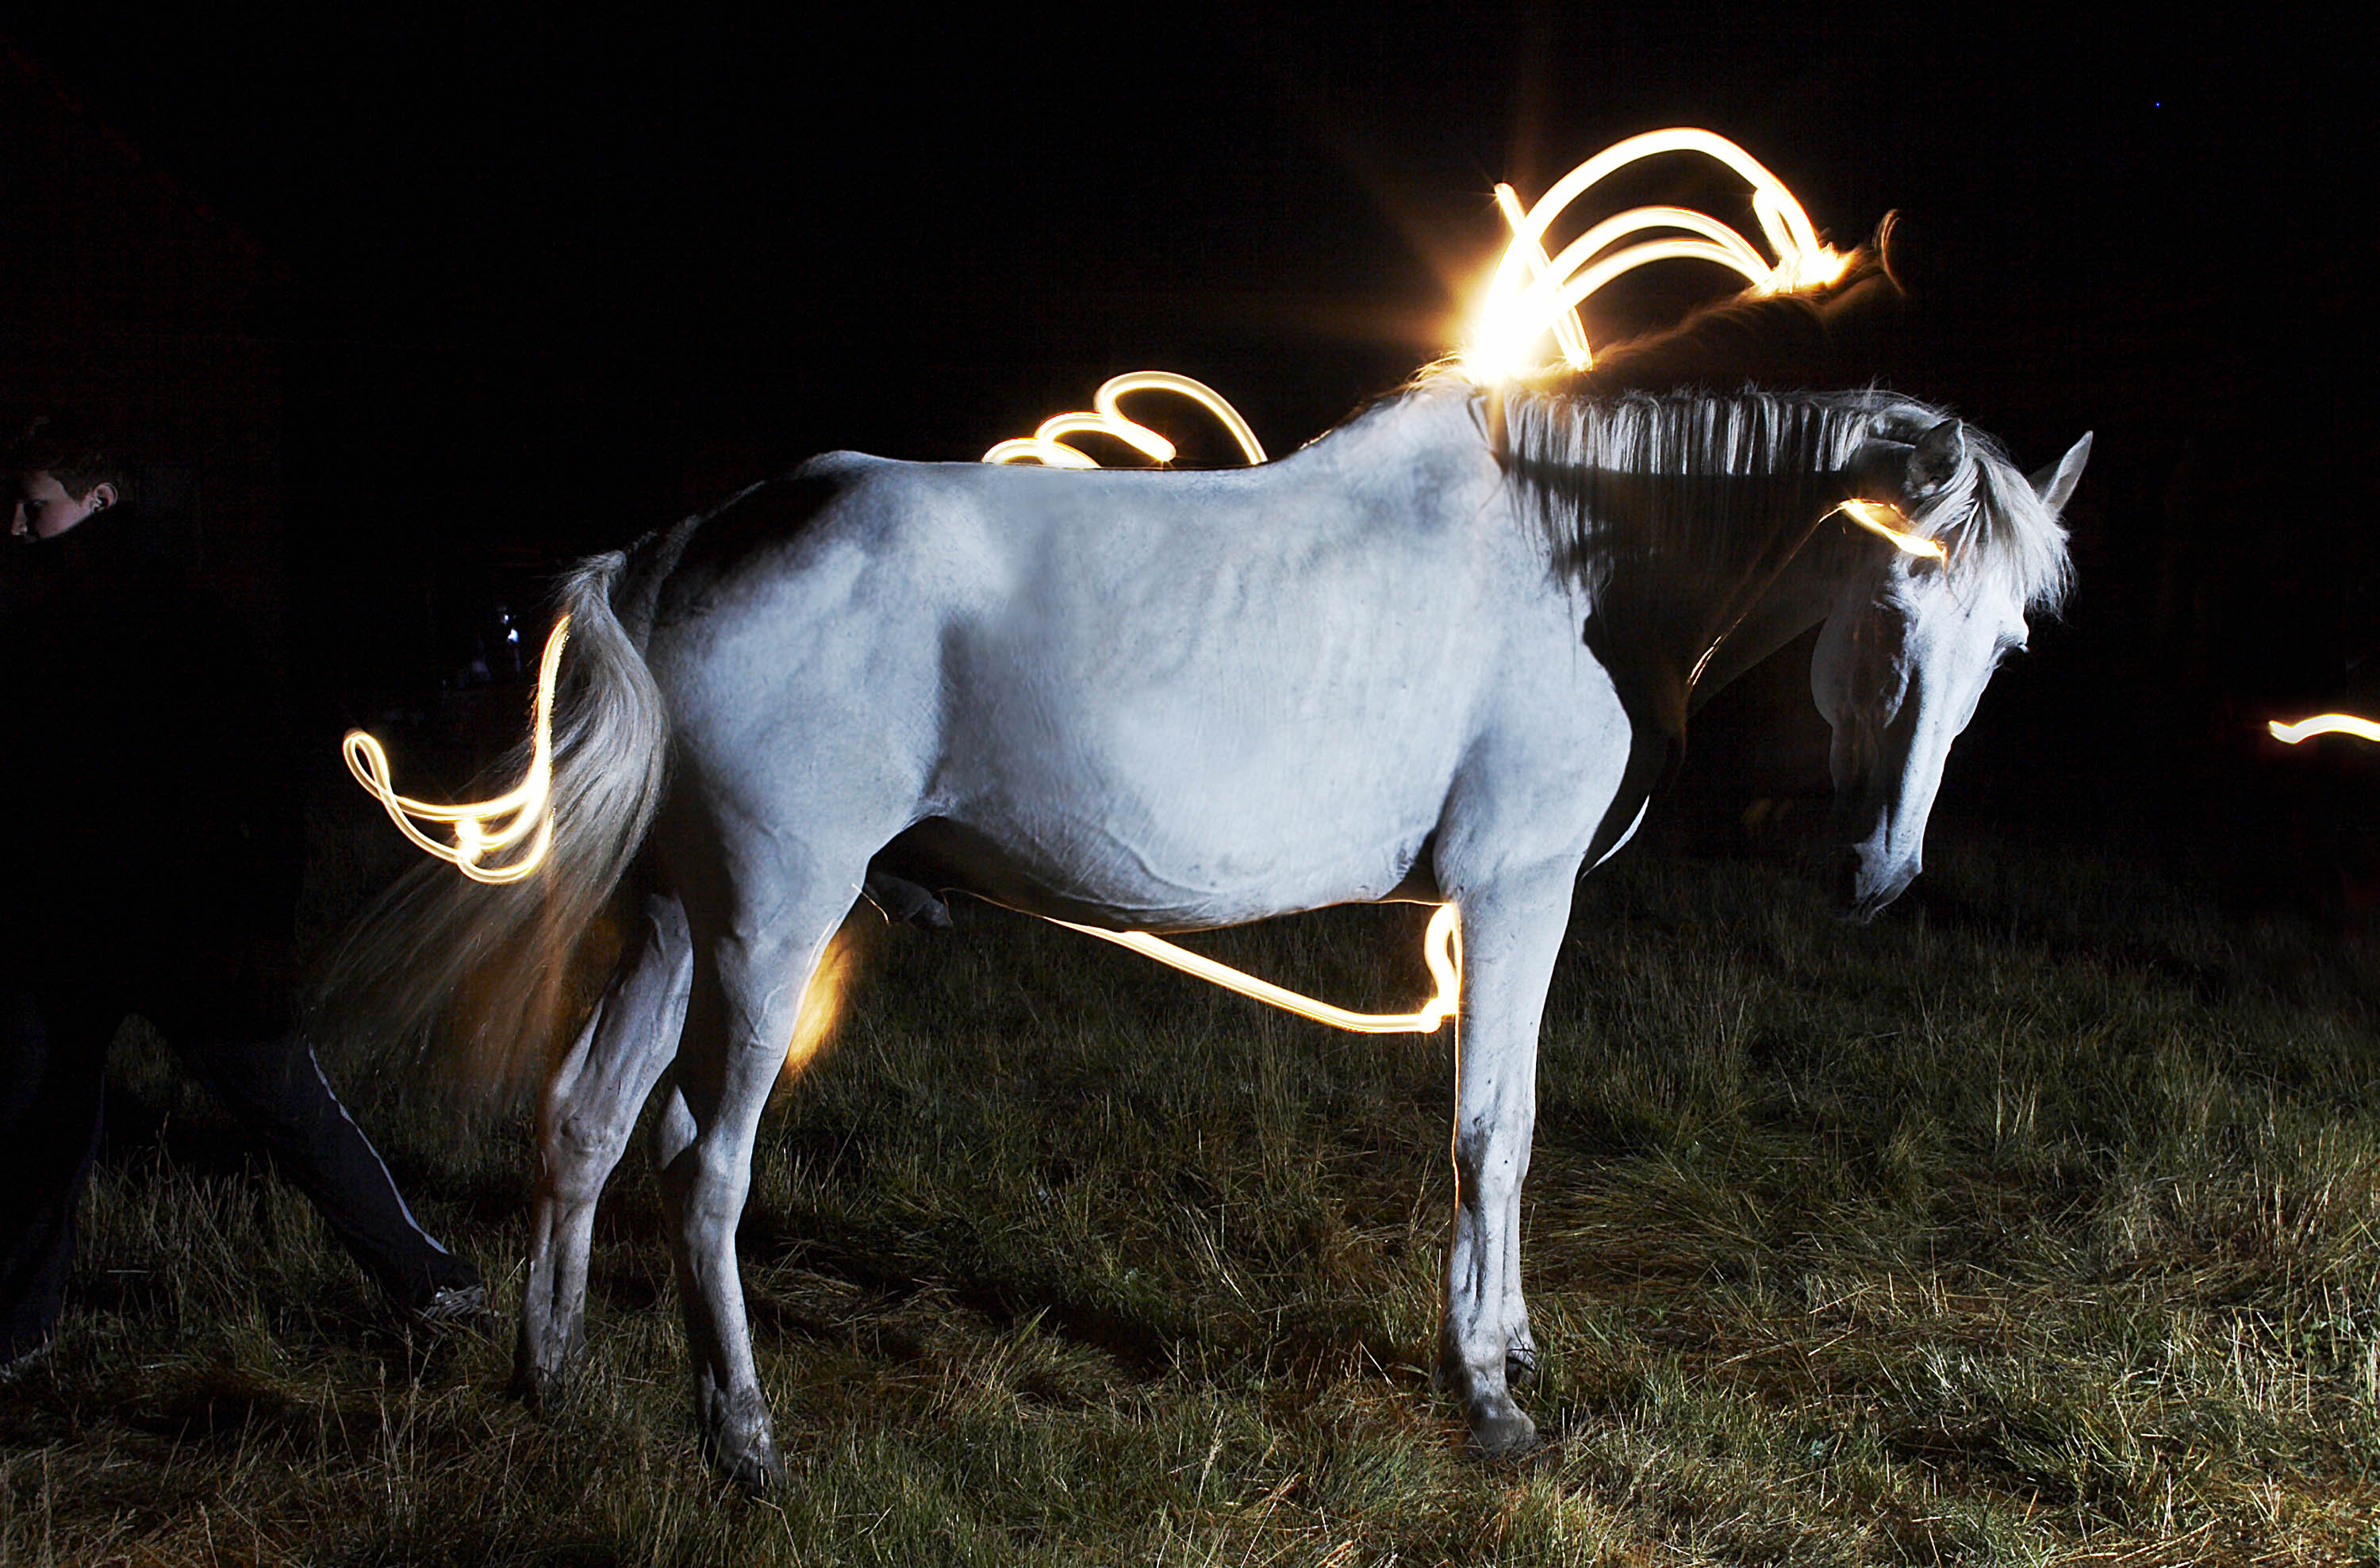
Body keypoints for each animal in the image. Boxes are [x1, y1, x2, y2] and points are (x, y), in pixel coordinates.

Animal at [329, 314, 2088, 1488]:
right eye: (1894, 608)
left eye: (2008, 643)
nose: (1878, 872)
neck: (1578, 562)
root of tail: (678, 550)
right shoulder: (1511, 896)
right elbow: (1495, 1128)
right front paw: (1490, 1393)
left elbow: (1513, 1126)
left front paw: (1512, 1346)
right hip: (770, 924)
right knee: (705, 1164)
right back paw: (745, 1439)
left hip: (677, 920)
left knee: (585, 1121)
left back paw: (554, 1383)